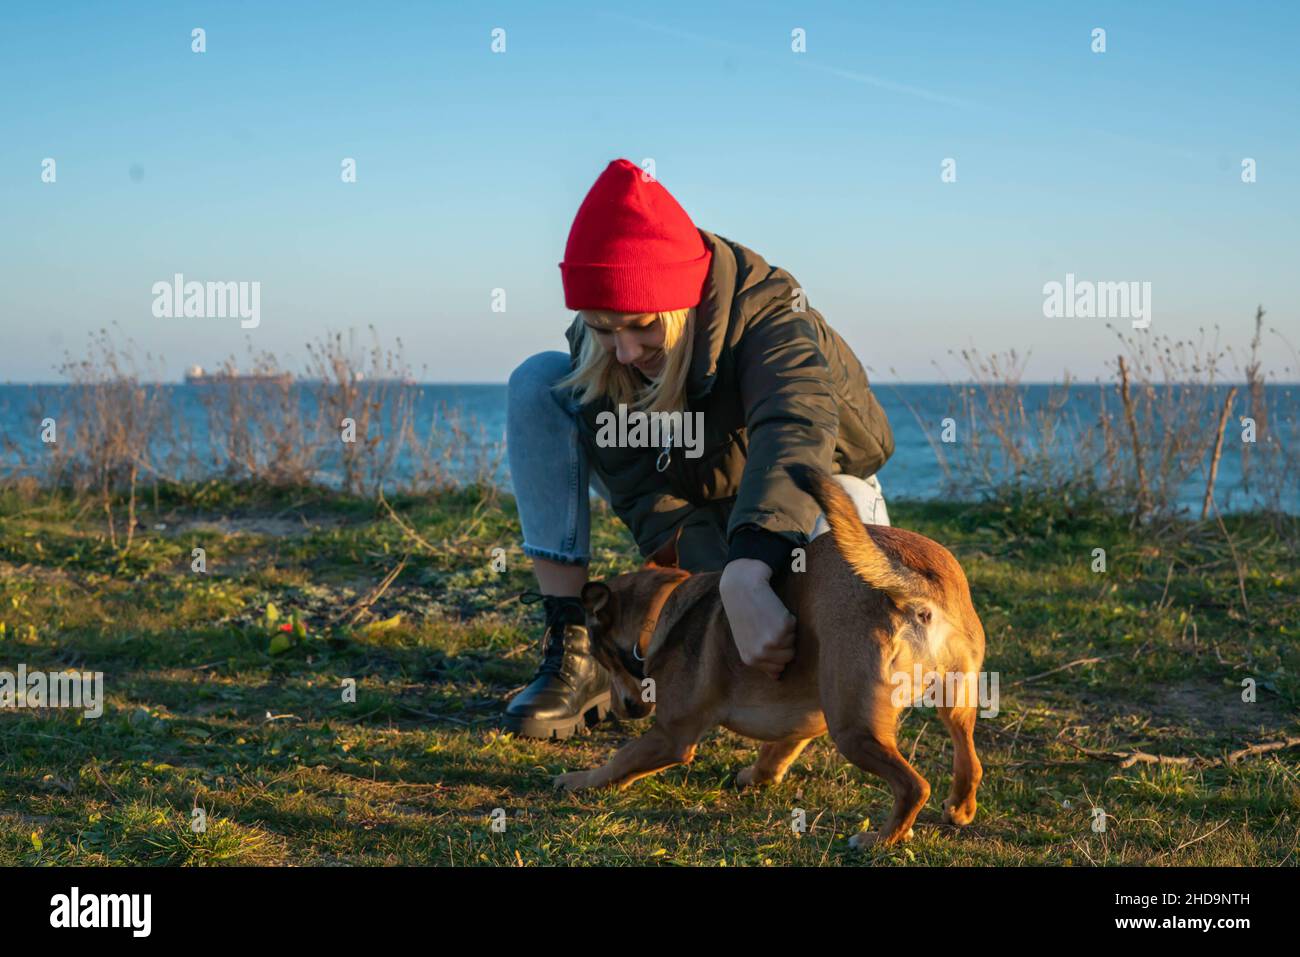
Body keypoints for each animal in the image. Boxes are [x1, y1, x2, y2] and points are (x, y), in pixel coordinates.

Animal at [553, 462, 987, 842]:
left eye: (602, 657)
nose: (620, 709)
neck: (663, 607)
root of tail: (914, 586)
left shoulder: (671, 736)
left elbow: (621, 761)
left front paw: (579, 780)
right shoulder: (810, 717)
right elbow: (777, 751)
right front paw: (757, 776)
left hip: (854, 729)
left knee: (914, 786)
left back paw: (878, 839)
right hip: (954, 700)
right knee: (970, 760)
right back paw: (960, 809)